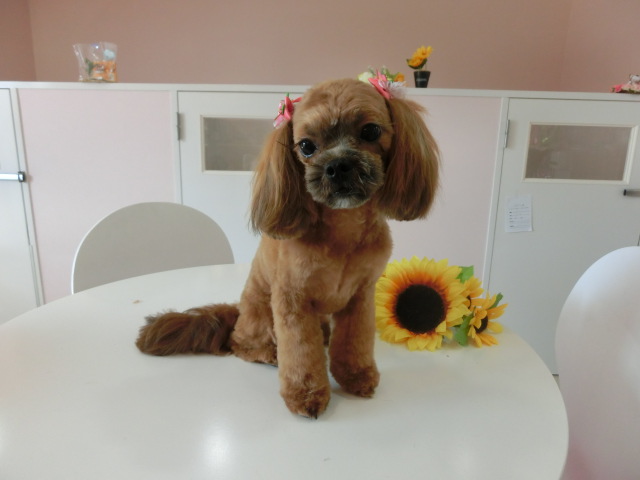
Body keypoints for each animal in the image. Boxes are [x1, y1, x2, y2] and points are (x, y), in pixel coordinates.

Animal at [136, 77, 439, 418]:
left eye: (371, 131)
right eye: (306, 146)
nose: (338, 166)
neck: (342, 233)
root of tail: (237, 310)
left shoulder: (361, 296)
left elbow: (355, 341)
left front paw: (355, 376)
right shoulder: (292, 299)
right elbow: (300, 352)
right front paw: (306, 394)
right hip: (260, 316)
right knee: (240, 343)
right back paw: (269, 353)